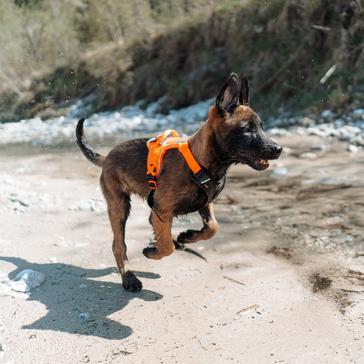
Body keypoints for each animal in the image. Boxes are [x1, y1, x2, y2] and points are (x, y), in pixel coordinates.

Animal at [75, 74, 282, 292]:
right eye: (246, 129)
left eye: (261, 127)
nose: (278, 149)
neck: (201, 161)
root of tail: (107, 157)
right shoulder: (162, 211)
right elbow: (167, 246)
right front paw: (154, 251)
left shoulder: (205, 203)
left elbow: (212, 227)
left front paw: (187, 236)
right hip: (119, 206)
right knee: (119, 245)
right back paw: (129, 278)